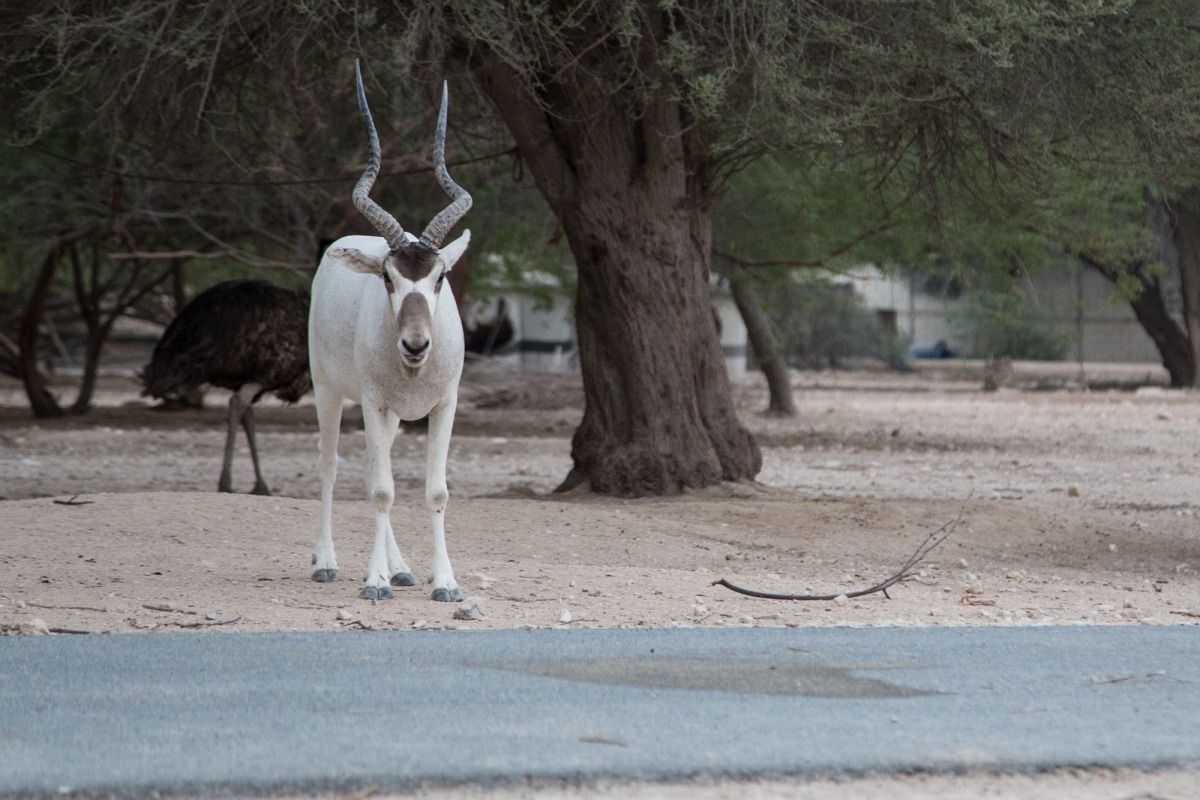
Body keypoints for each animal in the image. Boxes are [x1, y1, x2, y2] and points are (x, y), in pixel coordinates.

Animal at [307, 64, 470, 599]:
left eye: (439, 277)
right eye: (387, 277)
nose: (415, 345)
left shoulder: (442, 406)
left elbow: (434, 490)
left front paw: (445, 582)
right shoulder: (373, 402)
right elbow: (383, 491)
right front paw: (374, 582)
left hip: (394, 416)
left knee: (366, 468)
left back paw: (400, 568)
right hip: (329, 391)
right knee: (331, 464)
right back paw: (328, 563)